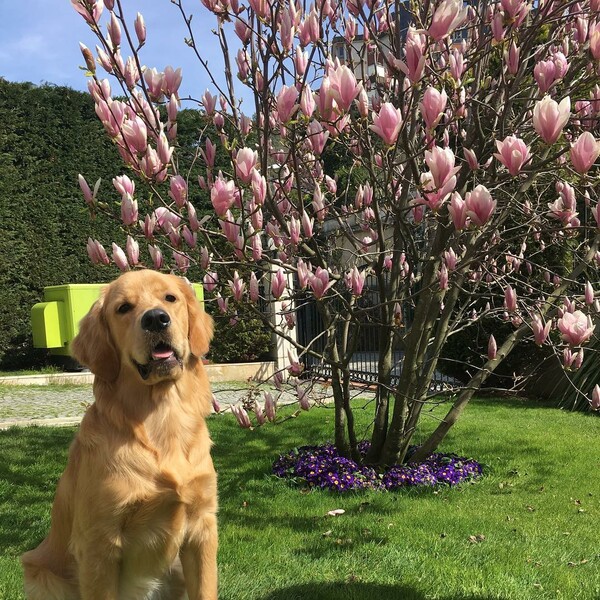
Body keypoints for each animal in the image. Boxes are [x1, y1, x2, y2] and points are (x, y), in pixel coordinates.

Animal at [21, 270, 218, 600]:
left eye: (170, 298)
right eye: (123, 308)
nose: (156, 319)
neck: (161, 417)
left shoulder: (202, 529)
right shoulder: (99, 544)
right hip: (42, 576)